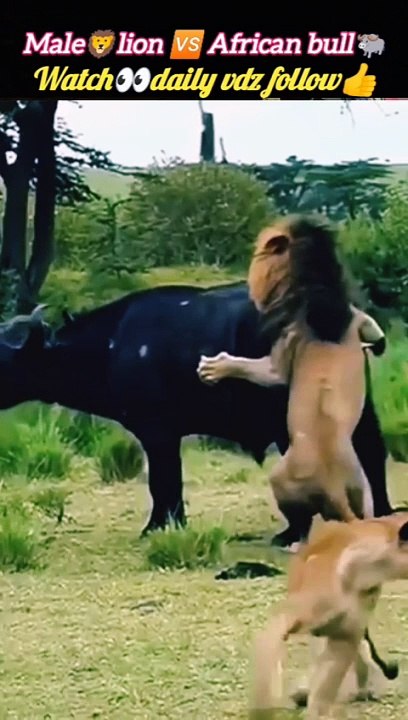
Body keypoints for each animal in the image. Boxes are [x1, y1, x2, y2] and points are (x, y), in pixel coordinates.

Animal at [0, 283, 395, 547]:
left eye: (5, 354)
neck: (113, 344)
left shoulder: (157, 433)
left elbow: (163, 483)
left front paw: (157, 526)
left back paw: (293, 532)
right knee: (372, 453)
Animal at [198, 214, 387, 537]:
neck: (317, 291)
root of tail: (333, 488)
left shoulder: (282, 353)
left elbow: (252, 367)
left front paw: (213, 368)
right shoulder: (360, 319)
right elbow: (376, 333)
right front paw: (376, 346)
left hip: (279, 478)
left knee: (301, 519)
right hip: (360, 487)